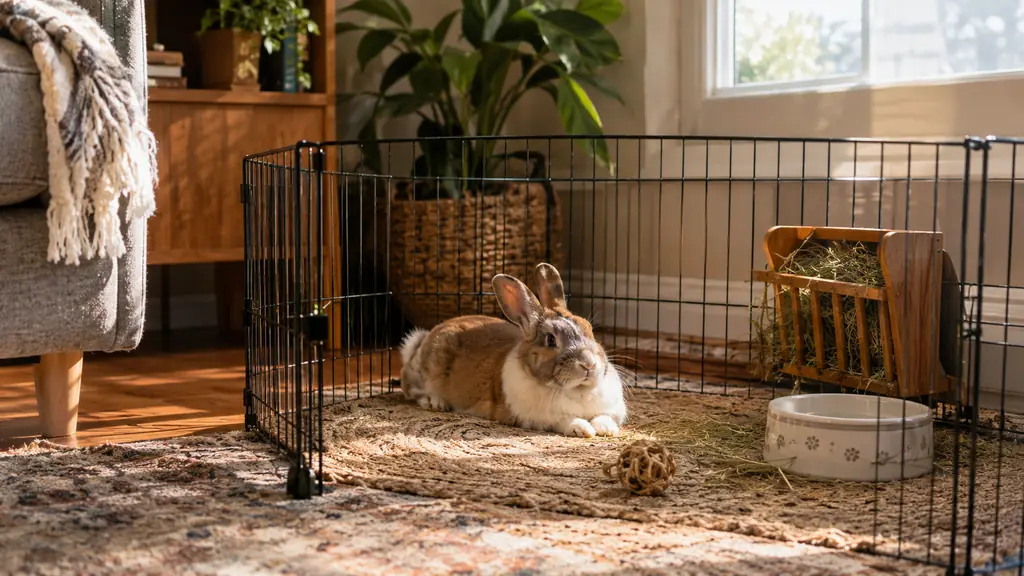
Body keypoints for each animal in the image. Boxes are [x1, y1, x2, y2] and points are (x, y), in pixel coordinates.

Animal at [399, 263, 627, 438]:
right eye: (551, 340)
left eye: (590, 330)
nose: (588, 364)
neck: (576, 390)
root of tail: (424, 340)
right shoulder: (537, 418)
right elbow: (565, 420)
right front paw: (583, 429)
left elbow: (604, 417)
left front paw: (607, 429)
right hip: (428, 368)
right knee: (413, 389)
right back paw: (435, 402)